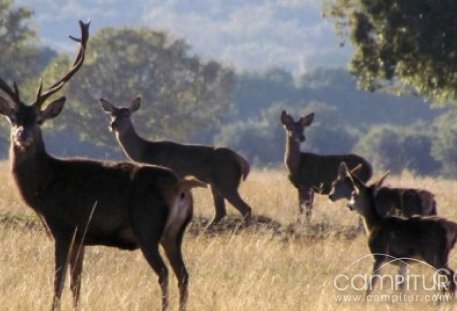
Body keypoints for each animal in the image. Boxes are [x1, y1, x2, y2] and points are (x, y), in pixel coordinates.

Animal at [0, 20, 203, 310]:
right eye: (13, 119)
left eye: (39, 119)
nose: (23, 136)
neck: (43, 187)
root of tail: (182, 187)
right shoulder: (82, 236)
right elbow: (76, 283)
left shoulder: (63, 227)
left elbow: (58, 281)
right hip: (174, 234)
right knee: (183, 274)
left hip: (148, 227)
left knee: (164, 273)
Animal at [99, 96, 253, 225]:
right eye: (112, 114)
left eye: (126, 115)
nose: (113, 125)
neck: (147, 152)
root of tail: (242, 161)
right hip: (216, 183)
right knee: (221, 212)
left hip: (226, 179)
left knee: (245, 208)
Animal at [340, 163, 456, 298]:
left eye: (353, 194)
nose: (349, 205)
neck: (374, 224)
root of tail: (452, 227)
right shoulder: (402, 261)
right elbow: (402, 286)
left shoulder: (379, 254)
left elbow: (371, 285)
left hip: (434, 253)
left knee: (450, 276)